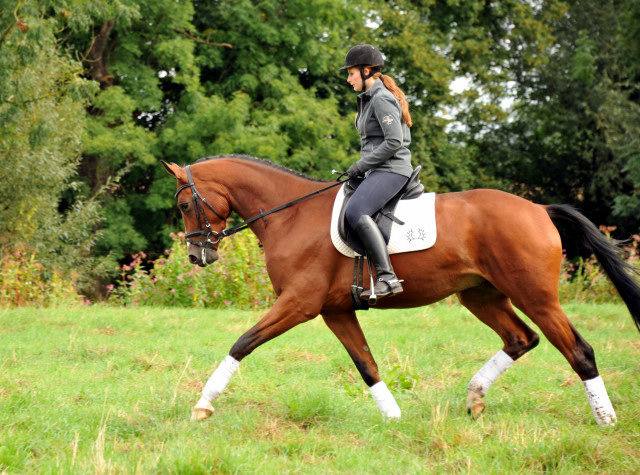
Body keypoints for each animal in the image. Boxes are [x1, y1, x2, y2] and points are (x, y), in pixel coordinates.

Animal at [161, 156, 640, 428]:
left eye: (184, 205)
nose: (198, 256)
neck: (290, 214)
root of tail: (538, 208)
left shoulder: (298, 304)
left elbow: (242, 343)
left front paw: (203, 405)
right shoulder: (335, 310)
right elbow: (366, 364)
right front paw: (393, 417)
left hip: (535, 297)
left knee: (578, 351)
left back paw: (606, 420)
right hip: (480, 295)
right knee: (521, 339)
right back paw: (474, 399)